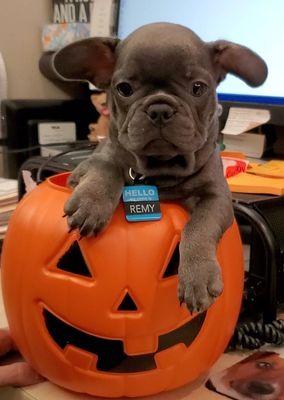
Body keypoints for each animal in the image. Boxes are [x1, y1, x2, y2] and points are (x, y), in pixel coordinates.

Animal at [53, 23, 268, 314]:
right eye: (124, 88)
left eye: (198, 88)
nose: (159, 108)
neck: (161, 169)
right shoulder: (93, 162)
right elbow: (106, 167)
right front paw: (91, 203)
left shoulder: (217, 198)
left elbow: (199, 226)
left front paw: (198, 277)